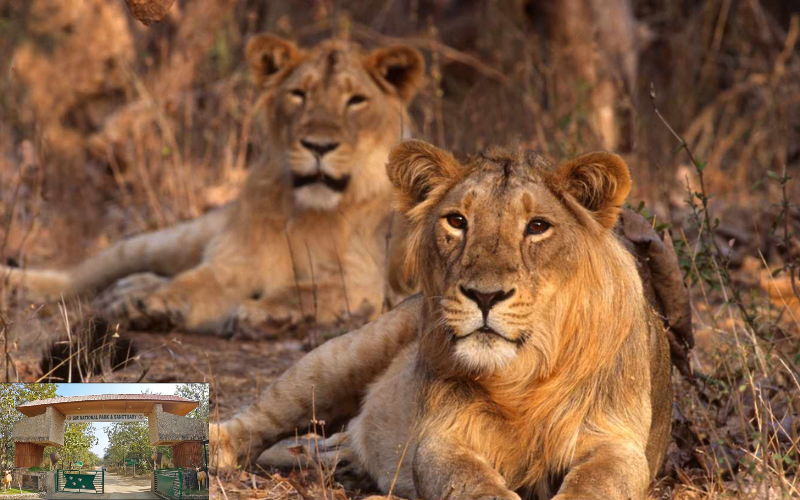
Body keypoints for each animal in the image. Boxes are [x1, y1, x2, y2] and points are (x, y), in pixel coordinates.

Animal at [0, 33, 424, 334]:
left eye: (356, 100)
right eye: (298, 94)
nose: (318, 146)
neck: (312, 211)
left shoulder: (367, 281)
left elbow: (310, 289)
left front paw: (265, 313)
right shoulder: (235, 262)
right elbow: (194, 283)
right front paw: (151, 306)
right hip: (172, 238)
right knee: (83, 274)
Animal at [212, 141, 676, 500]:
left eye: (538, 226)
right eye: (457, 221)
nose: (485, 296)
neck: (523, 378)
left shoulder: (616, 441)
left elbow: (597, 483)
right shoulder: (442, 435)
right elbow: (470, 483)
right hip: (339, 359)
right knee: (260, 417)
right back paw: (209, 445)